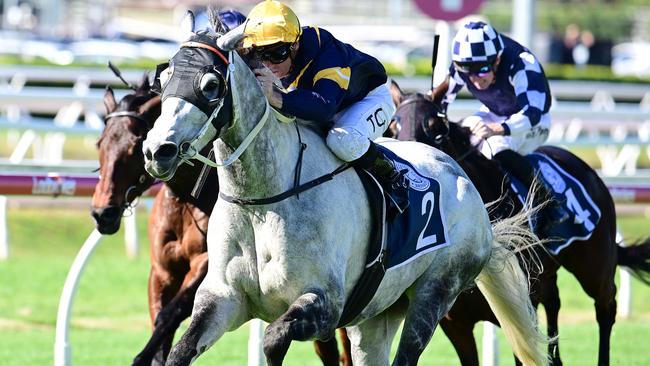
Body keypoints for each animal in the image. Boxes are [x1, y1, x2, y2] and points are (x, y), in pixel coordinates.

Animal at [91, 77, 350, 366]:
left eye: (134, 146)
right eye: (100, 144)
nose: (102, 213)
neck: (189, 199)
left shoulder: (206, 266)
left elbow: (169, 315)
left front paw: (142, 356)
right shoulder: (162, 270)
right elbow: (161, 315)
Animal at [140, 12, 548, 366]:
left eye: (210, 85)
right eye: (163, 80)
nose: (157, 151)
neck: (261, 200)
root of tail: (462, 178)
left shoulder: (325, 303)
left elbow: (272, 339)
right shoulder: (222, 300)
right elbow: (180, 351)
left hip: (435, 294)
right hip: (376, 315)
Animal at [388, 83, 648, 366]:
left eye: (435, 127)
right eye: (393, 125)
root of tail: (590, 172)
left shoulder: (519, 310)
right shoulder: (455, 323)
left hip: (594, 267)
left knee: (606, 307)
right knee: (555, 303)